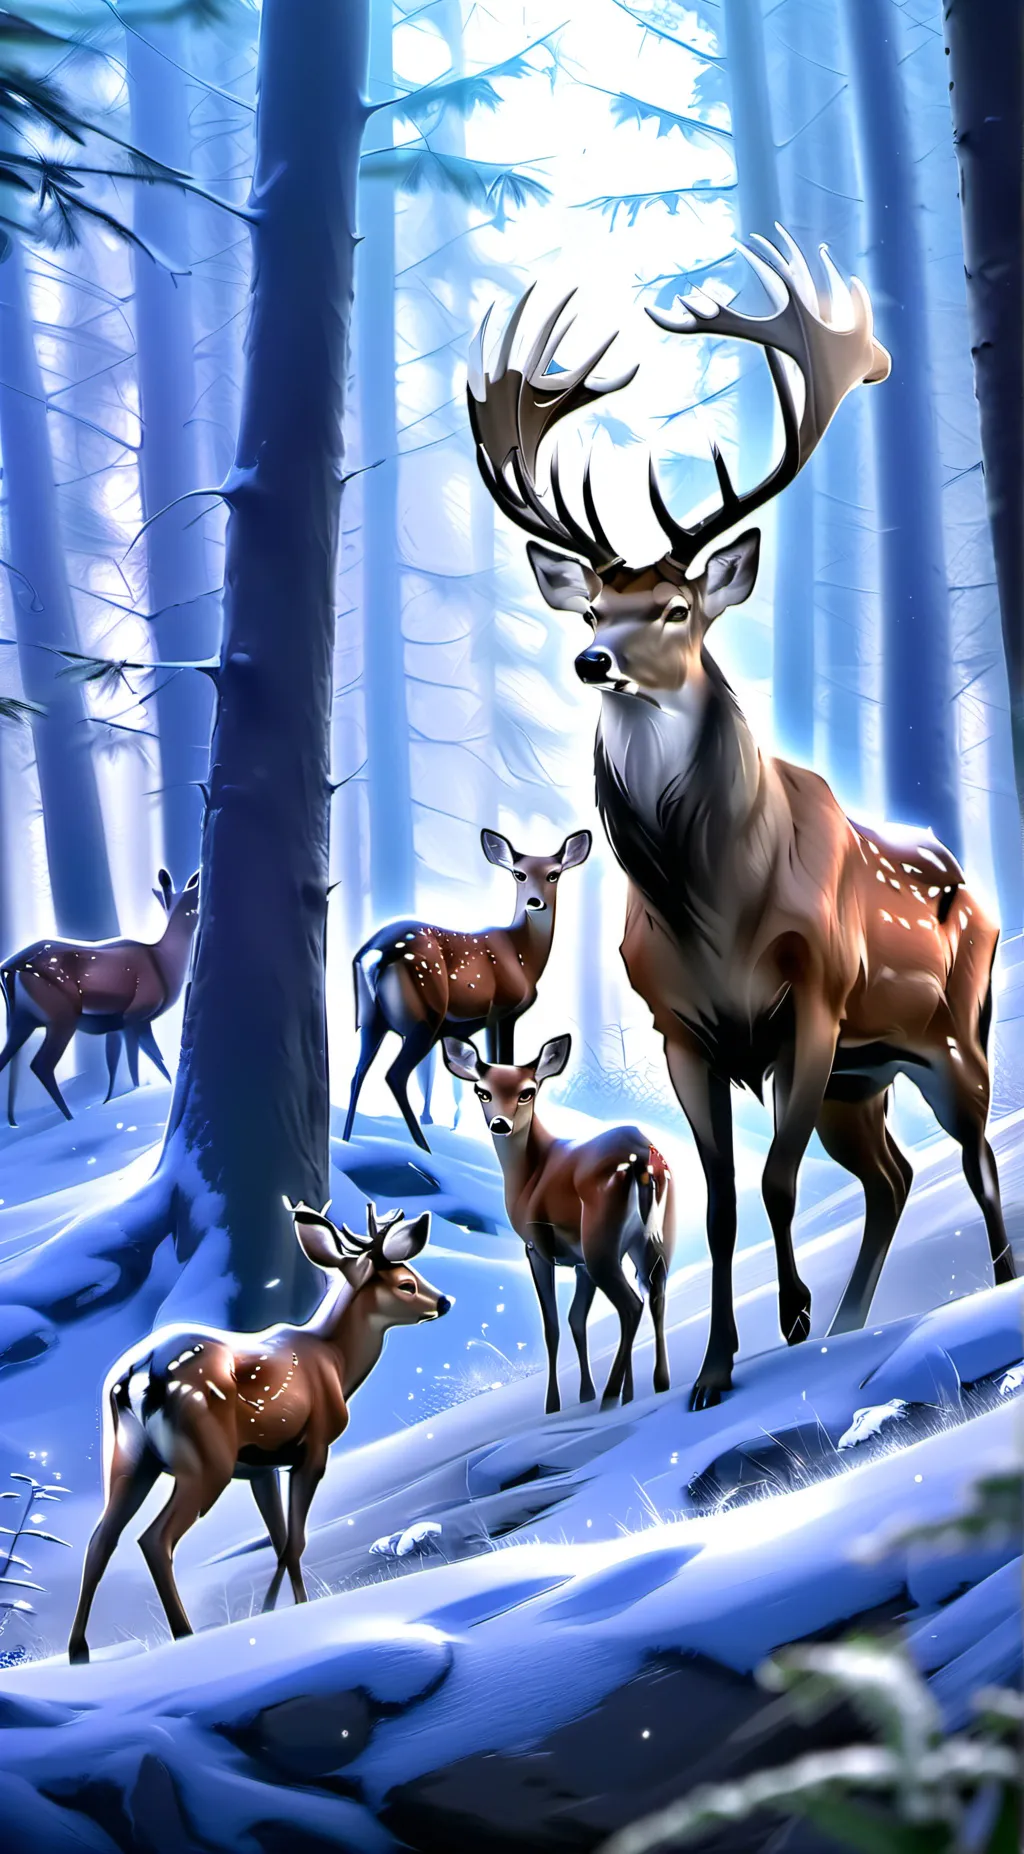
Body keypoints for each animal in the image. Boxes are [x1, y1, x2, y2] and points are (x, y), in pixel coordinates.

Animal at [0, 867, 200, 1124]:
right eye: (191, 902)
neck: (164, 961)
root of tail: (10, 966)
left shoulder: (117, 1023)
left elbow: (121, 1062)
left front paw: (112, 1098)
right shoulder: (137, 1013)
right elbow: (152, 1055)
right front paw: (167, 1088)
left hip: (20, 1020)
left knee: (8, 1059)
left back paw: (15, 1123)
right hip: (61, 1016)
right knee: (41, 1064)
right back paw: (70, 1117)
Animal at [68, 1199, 451, 1663]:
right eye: (406, 1283)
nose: (445, 1300)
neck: (336, 1362)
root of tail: (135, 1376)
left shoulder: (259, 1467)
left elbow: (278, 1536)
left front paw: (275, 1609)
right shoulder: (314, 1446)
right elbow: (295, 1539)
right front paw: (290, 1610)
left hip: (128, 1458)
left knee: (100, 1540)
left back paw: (78, 1651)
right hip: (205, 1460)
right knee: (155, 1539)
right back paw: (184, 1634)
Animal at [342, 826, 591, 1153]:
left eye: (553, 874)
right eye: (519, 874)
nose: (535, 902)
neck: (524, 958)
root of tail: (374, 955)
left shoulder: (474, 1023)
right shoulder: (503, 1009)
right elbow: (504, 1060)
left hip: (372, 1019)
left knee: (357, 1073)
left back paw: (346, 1139)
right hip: (425, 1016)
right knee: (394, 1075)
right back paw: (424, 1148)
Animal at [443, 1031, 674, 1413]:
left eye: (527, 1091)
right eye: (483, 1091)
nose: (500, 1124)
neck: (528, 1175)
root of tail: (642, 1158)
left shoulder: (536, 1246)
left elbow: (552, 1325)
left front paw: (554, 1403)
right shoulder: (578, 1262)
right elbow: (576, 1319)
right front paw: (586, 1393)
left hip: (601, 1241)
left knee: (631, 1304)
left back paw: (611, 1396)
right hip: (652, 1239)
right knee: (655, 1294)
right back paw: (656, 1384)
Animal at [468, 228, 1015, 1412]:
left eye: (676, 607)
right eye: (591, 608)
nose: (594, 661)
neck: (712, 905)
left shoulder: (814, 996)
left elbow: (771, 1181)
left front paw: (791, 1317)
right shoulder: (684, 1029)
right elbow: (720, 1201)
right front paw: (722, 1366)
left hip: (951, 1030)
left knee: (978, 1155)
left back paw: (986, 1284)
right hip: (868, 1074)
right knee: (892, 1174)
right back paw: (855, 1321)